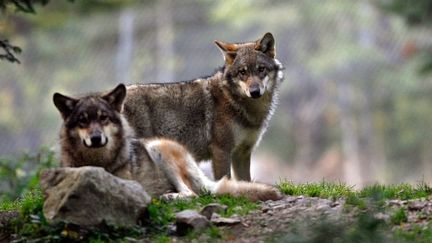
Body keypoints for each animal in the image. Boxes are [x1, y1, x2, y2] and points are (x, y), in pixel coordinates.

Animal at [53, 83, 284, 201]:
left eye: (103, 118)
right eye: (83, 121)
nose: (96, 138)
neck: (99, 162)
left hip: (158, 149)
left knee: (193, 195)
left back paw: (168, 197)